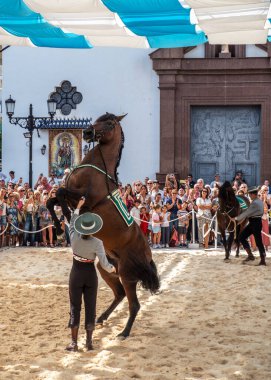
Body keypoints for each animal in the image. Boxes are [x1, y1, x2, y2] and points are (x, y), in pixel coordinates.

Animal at [47, 113, 160, 338]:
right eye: (98, 119)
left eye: (109, 123)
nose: (87, 132)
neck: (96, 171)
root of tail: (148, 255)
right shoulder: (73, 196)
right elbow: (52, 199)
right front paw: (58, 228)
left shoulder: (86, 202)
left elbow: (62, 194)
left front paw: (66, 220)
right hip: (105, 267)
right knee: (119, 294)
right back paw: (101, 318)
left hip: (127, 273)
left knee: (134, 304)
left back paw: (124, 332)